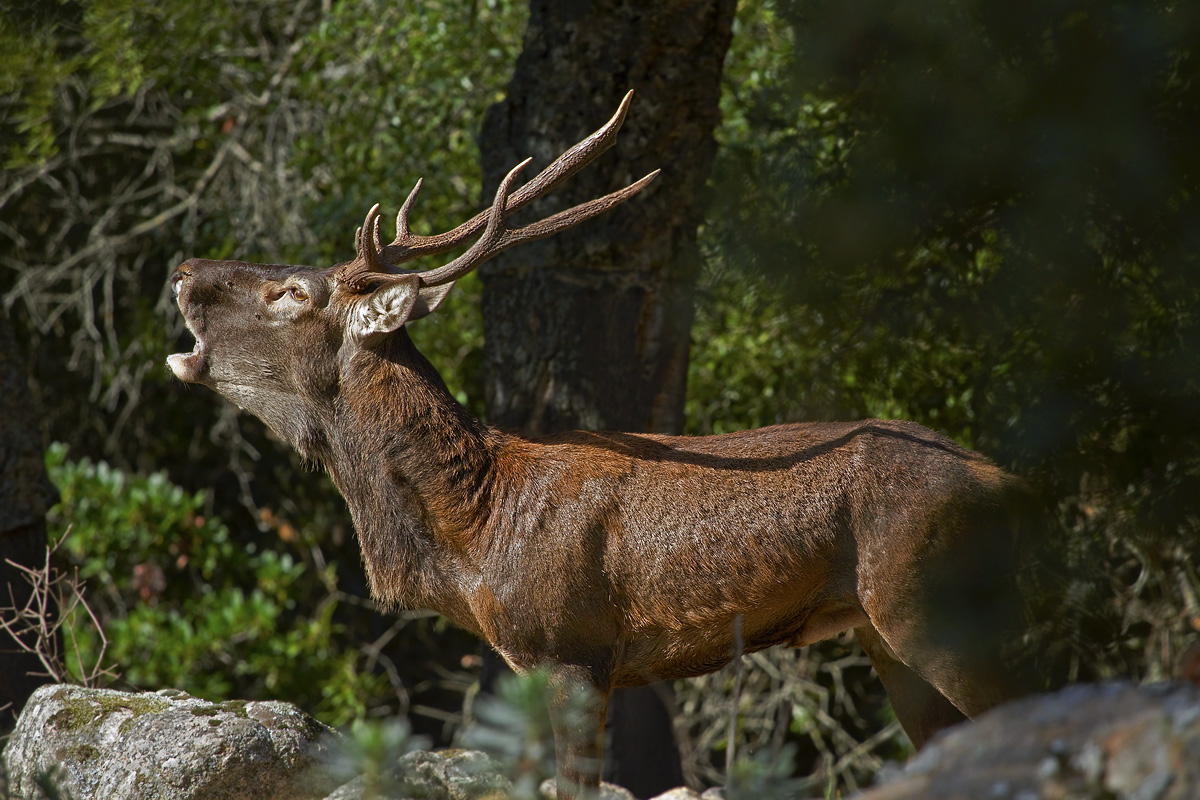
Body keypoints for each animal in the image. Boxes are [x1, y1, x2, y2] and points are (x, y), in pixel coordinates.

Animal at [167, 92, 1035, 798]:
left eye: (290, 293)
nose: (182, 267)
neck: (476, 535)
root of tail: (1012, 486)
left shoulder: (571, 648)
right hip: (890, 638)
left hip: (932, 609)